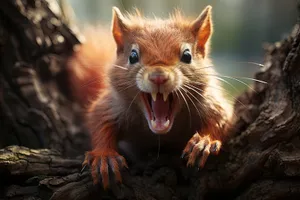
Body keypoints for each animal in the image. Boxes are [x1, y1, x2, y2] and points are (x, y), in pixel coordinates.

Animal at [67, 5, 233, 189]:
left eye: (187, 56)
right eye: (132, 56)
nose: (158, 76)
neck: (161, 134)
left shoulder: (211, 102)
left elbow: (220, 118)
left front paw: (204, 142)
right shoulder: (111, 105)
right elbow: (99, 121)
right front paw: (104, 156)